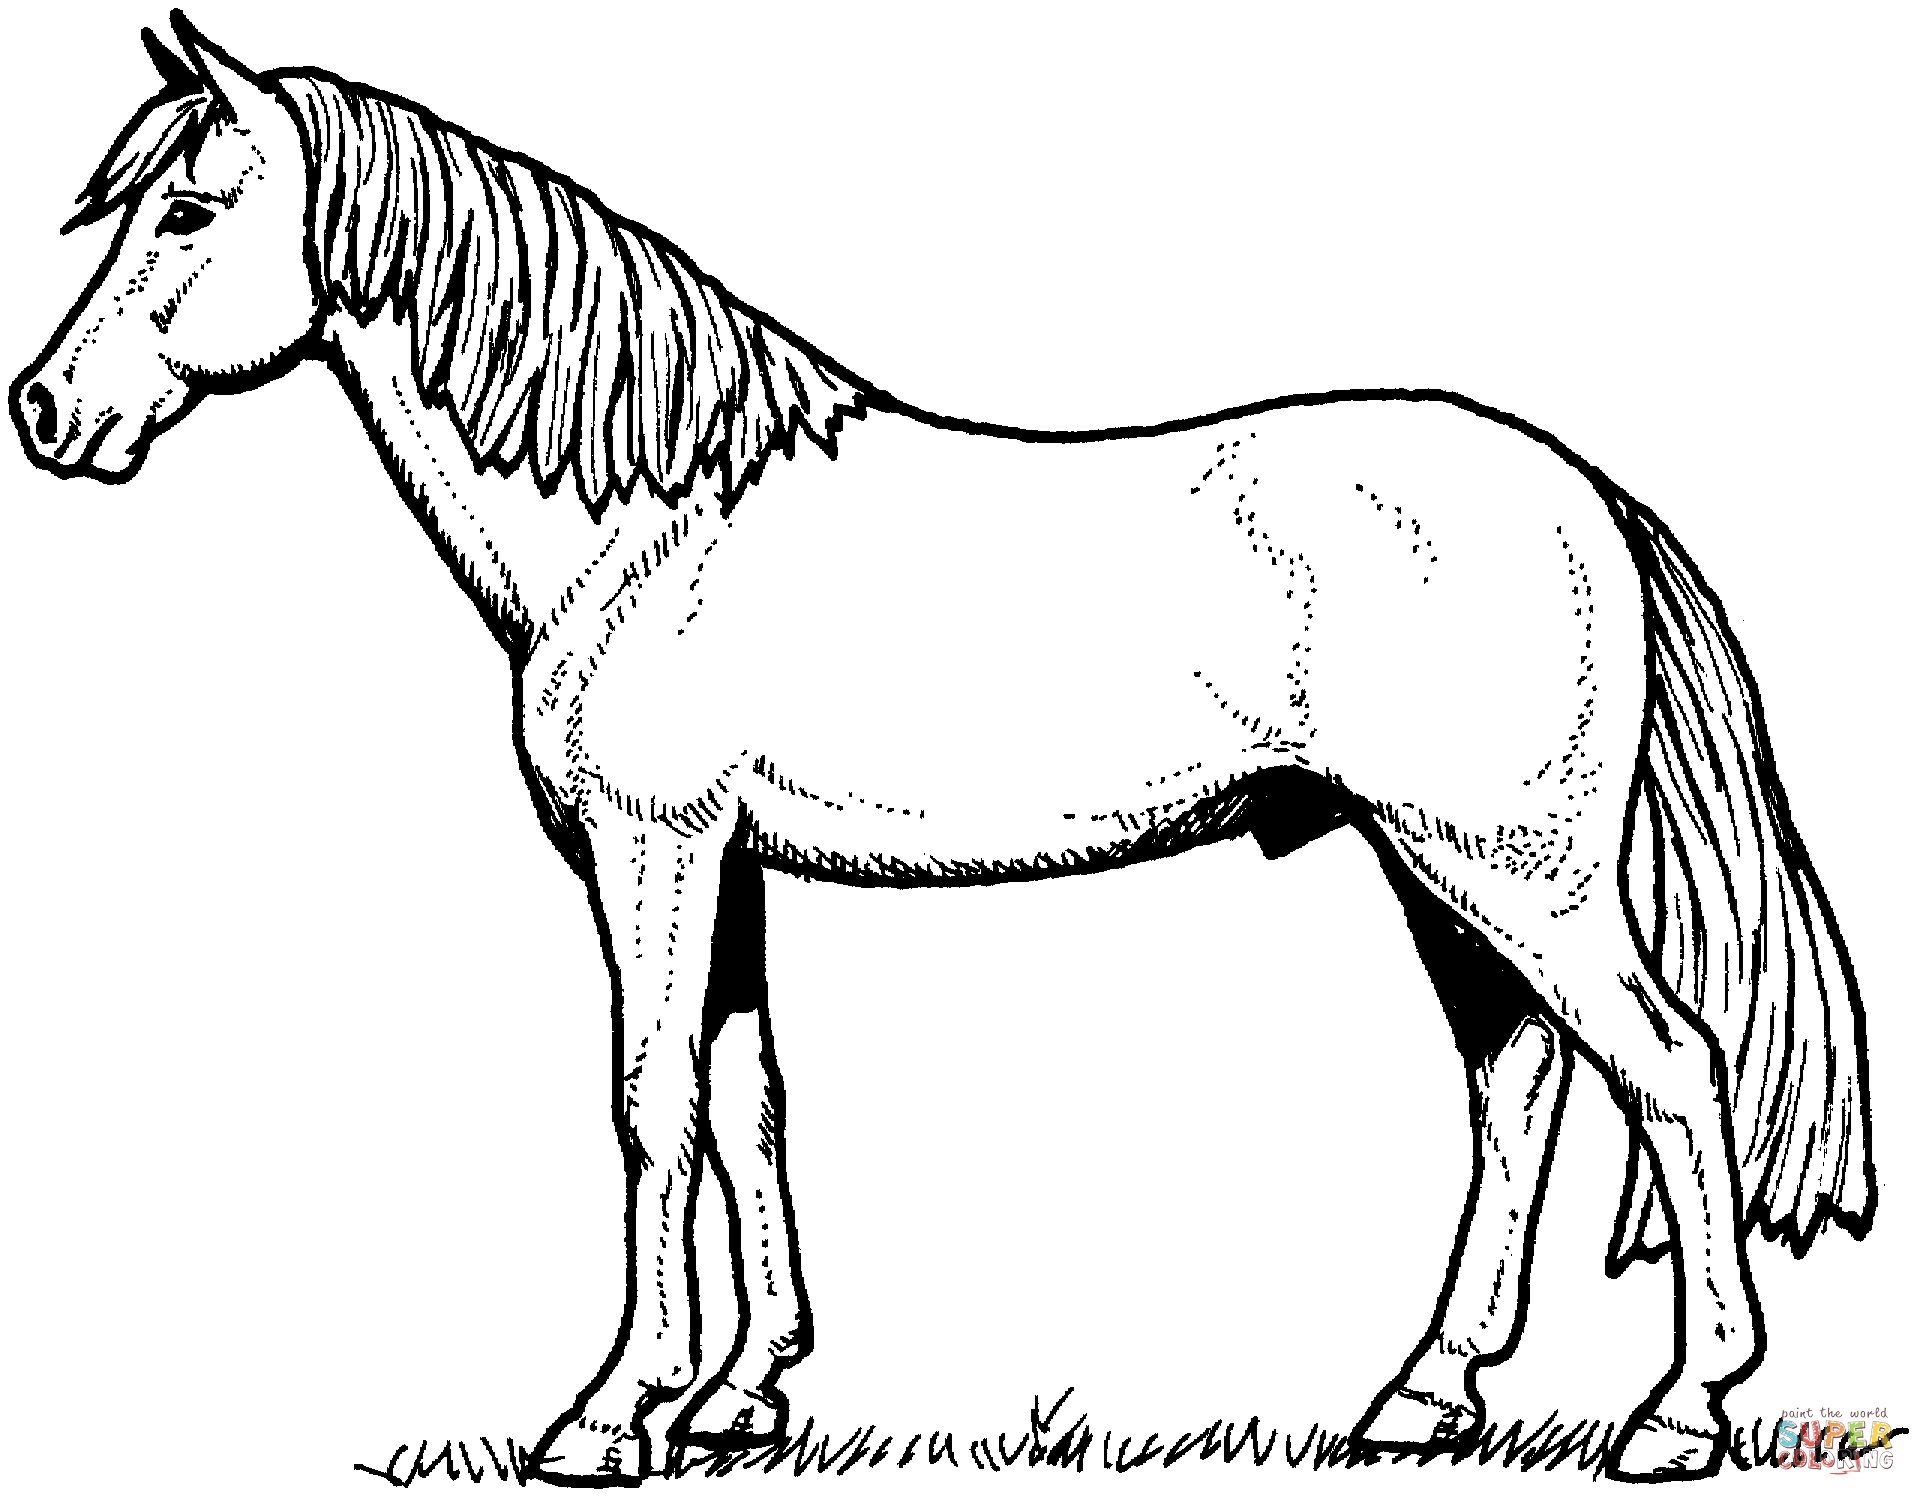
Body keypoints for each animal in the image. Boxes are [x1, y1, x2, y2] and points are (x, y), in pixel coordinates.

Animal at [12, 14, 1874, 1485]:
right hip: (1449, 871)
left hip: (1508, 866)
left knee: (1671, 1068)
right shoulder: (729, 867)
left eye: (190, 208)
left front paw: (610, 1415)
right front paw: (738, 1398)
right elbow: (748, 1103)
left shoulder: (653, 851)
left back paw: (1680, 1412)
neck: (648, 523)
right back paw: (1422, 1397)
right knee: (1518, 1083)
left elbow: (651, 1104)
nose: (46, 411)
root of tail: (1584, 496)